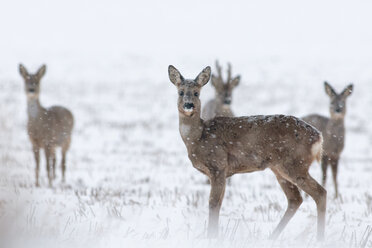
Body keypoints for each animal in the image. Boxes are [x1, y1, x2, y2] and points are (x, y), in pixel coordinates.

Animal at [167, 64, 326, 240]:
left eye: (196, 93)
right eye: (181, 92)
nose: (188, 105)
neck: (199, 137)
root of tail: (318, 137)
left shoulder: (218, 166)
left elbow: (213, 203)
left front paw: (211, 237)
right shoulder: (221, 172)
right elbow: (219, 203)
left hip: (295, 164)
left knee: (320, 193)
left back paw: (319, 238)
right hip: (279, 168)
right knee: (295, 199)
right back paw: (272, 237)